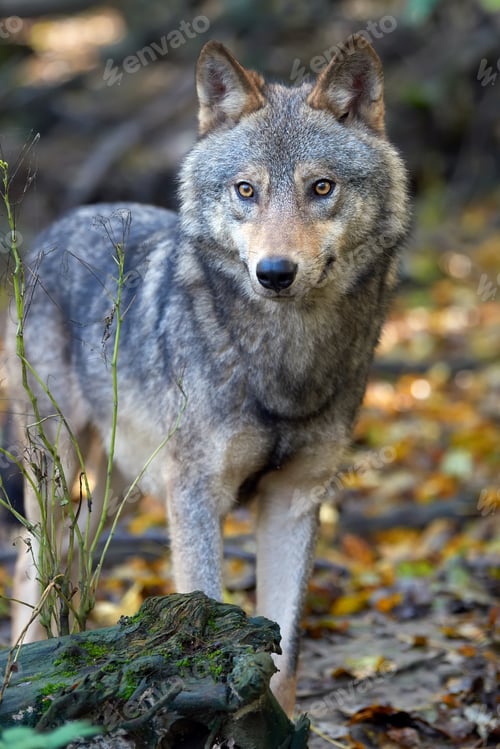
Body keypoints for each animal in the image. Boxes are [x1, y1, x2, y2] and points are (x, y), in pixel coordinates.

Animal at [6, 35, 409, 714]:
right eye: (246, 190)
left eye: (321, 187)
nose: (275, 272)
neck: (283, 361)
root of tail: (58, 227)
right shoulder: (195, 496)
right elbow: (208, 611)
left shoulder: (294, 502)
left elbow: (287, 657)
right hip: (58, 475)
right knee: (32, 567)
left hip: (118, 489)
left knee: (76, 562)